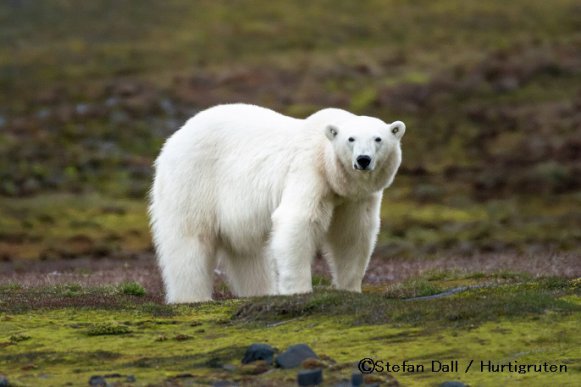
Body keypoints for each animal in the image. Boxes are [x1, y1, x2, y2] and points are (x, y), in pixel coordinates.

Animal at [150, 103, 404, 304]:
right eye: (351, 139)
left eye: (378, 139)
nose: (363, 160)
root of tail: (175, 137)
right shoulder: (309, 170)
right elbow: (297, 222)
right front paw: (299, 290)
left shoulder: (355, 198)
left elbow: (352, 234)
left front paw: (350, 288)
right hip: (194, 180)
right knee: (189, 241)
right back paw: (192, 298)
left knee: (248, 253)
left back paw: (259, 292)